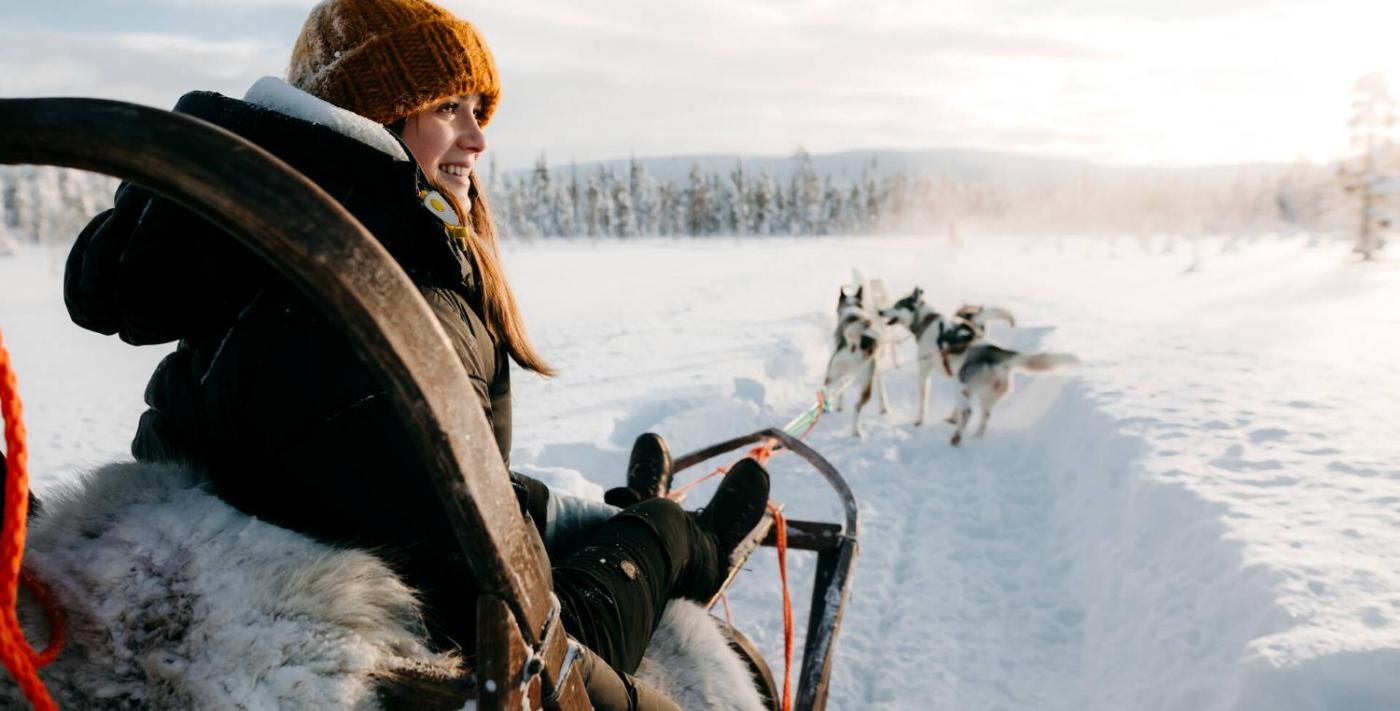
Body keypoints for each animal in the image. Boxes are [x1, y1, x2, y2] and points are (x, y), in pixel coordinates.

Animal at [824, 286, 888, 437]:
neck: (852, 309)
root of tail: (853, 344)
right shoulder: (878, 370)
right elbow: (882, 391)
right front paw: (884, 408)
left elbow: (840, 391)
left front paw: (838, 406)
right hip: (866, 385)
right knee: (856, 407)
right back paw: (856, 431)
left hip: (832, 375)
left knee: (825, 392)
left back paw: (825, 408)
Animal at [937, 317, 1078, 446]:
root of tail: (998, 357)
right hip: (986, 396)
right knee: (985, 416)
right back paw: (976, 436)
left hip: (962, 387)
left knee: (968, 411)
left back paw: (956, 437)